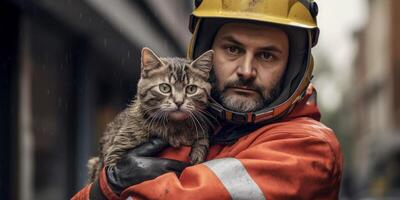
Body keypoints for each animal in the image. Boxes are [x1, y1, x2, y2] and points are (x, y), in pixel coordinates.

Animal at [86, 47, 214, 181]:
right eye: (164, 88)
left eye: (191, 89)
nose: (179, 102)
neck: (174, 125)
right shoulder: (116, 151)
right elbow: (111, 168)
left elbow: (202, 138)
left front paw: (198, 152)